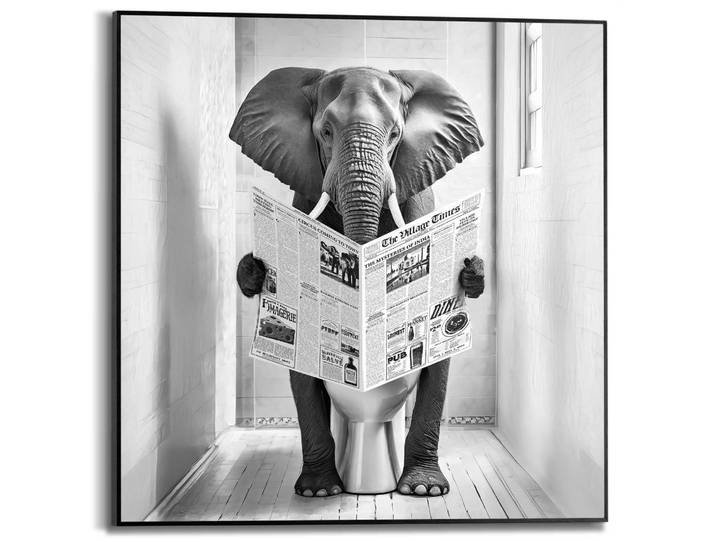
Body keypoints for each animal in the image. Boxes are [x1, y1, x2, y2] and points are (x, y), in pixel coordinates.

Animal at [232, 66, 486, 497]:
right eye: (325, 131)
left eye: (396, 134)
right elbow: (302, 374)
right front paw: (318, 492)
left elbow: (438, 368)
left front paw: (424, 491)